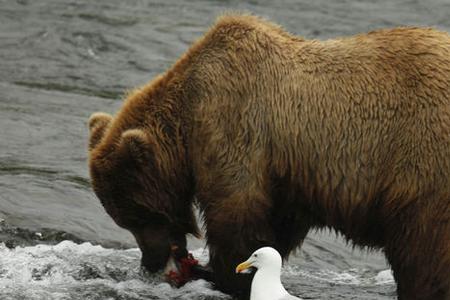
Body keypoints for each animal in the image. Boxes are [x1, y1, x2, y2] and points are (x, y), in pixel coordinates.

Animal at [89, 14, 450, 300]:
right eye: (125, 219)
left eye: (140, 216)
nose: (149, 263)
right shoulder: (287, 174)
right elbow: (277, 225)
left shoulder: (233, 126)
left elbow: (235, 215)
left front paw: (219, 274)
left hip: (421, 163)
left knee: (423, 252)